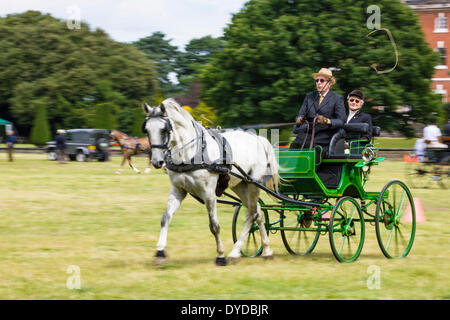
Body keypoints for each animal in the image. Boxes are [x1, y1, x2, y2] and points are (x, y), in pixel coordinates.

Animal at [142, 99, 280, 266]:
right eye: (147, 130)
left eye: (163, 129)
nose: (157, 162)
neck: (191, 153)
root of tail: (259, 139)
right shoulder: (178, 190)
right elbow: (165, 218)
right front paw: (160, 252)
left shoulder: (209, 193)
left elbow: (214, 226)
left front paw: (220, 256)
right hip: (241, 185)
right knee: (257, 212)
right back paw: (265, 250)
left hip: (254, 183)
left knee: (252, 214)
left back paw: (235, 252)